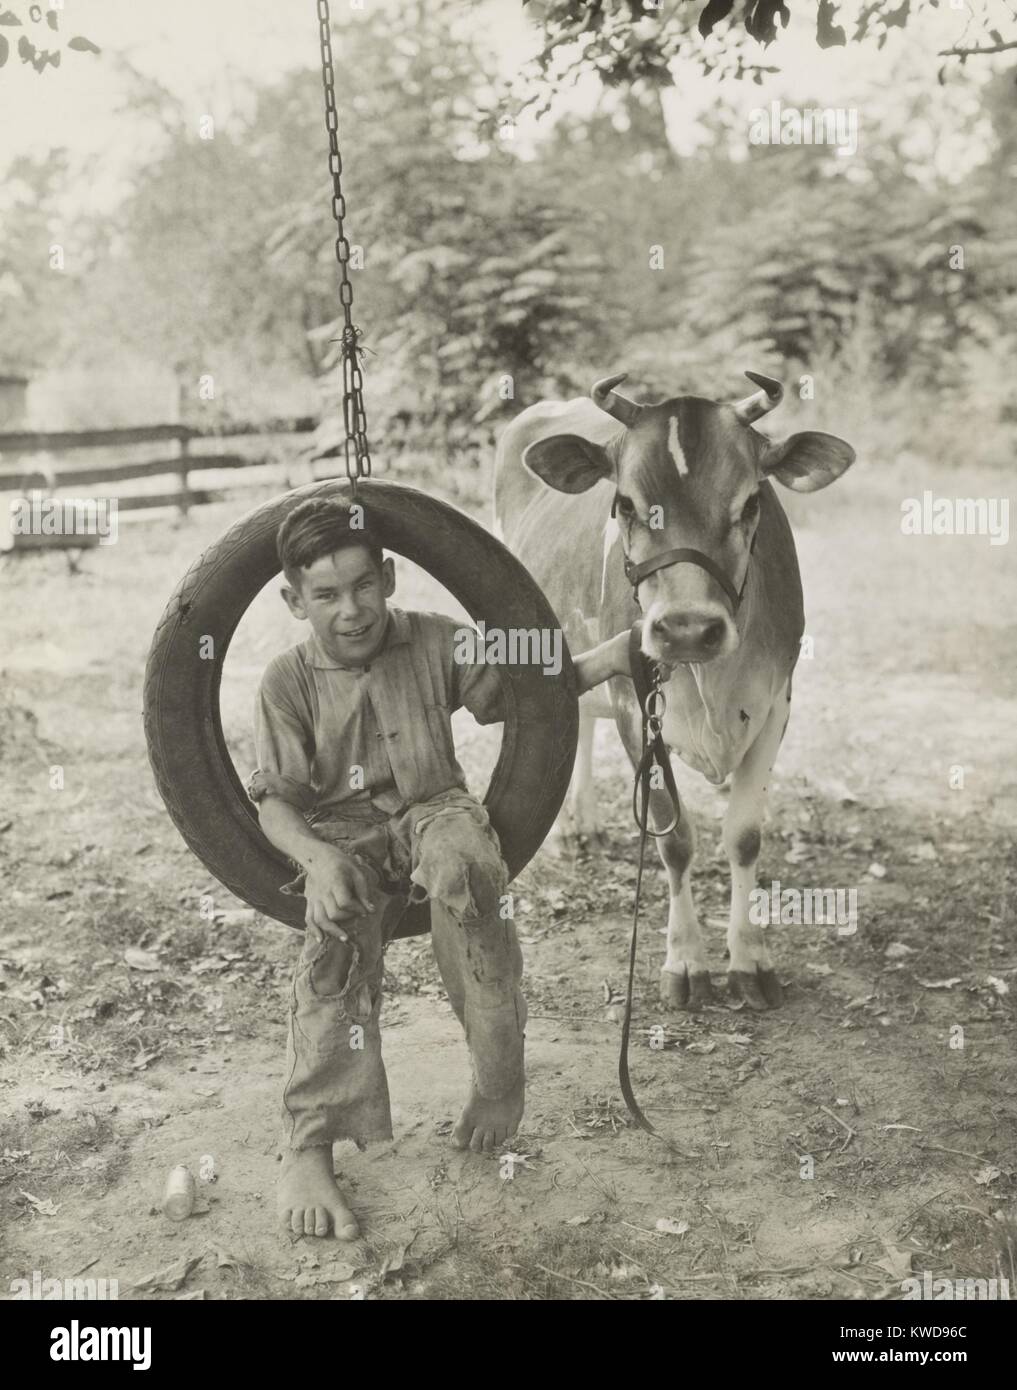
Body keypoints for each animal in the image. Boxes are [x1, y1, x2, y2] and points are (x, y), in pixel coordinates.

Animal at [497, 369, 855, 1011]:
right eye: (624, 505)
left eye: (752, 503)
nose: (688, 628)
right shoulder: (635, 704)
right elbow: (676, 840)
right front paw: (686, 961)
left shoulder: (775, 705)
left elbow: (744, 837)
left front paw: (749, 959)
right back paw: (568, 830)